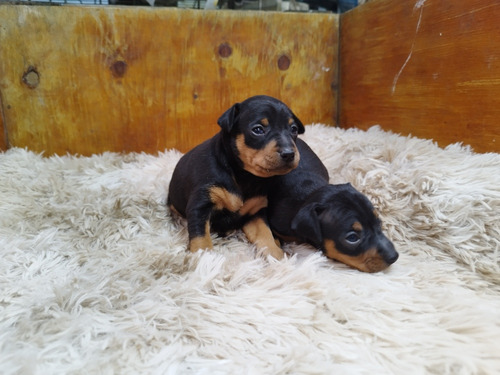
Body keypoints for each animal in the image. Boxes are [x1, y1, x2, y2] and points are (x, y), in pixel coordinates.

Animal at [167, 95, 304, 260]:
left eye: (293, 129)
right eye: (258, 130)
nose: (289, 153)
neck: (245, 176)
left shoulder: (255, 213)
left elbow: (266, 236)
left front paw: (279, 258)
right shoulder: (200, 206)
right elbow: (201, 239)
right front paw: (205, 259)